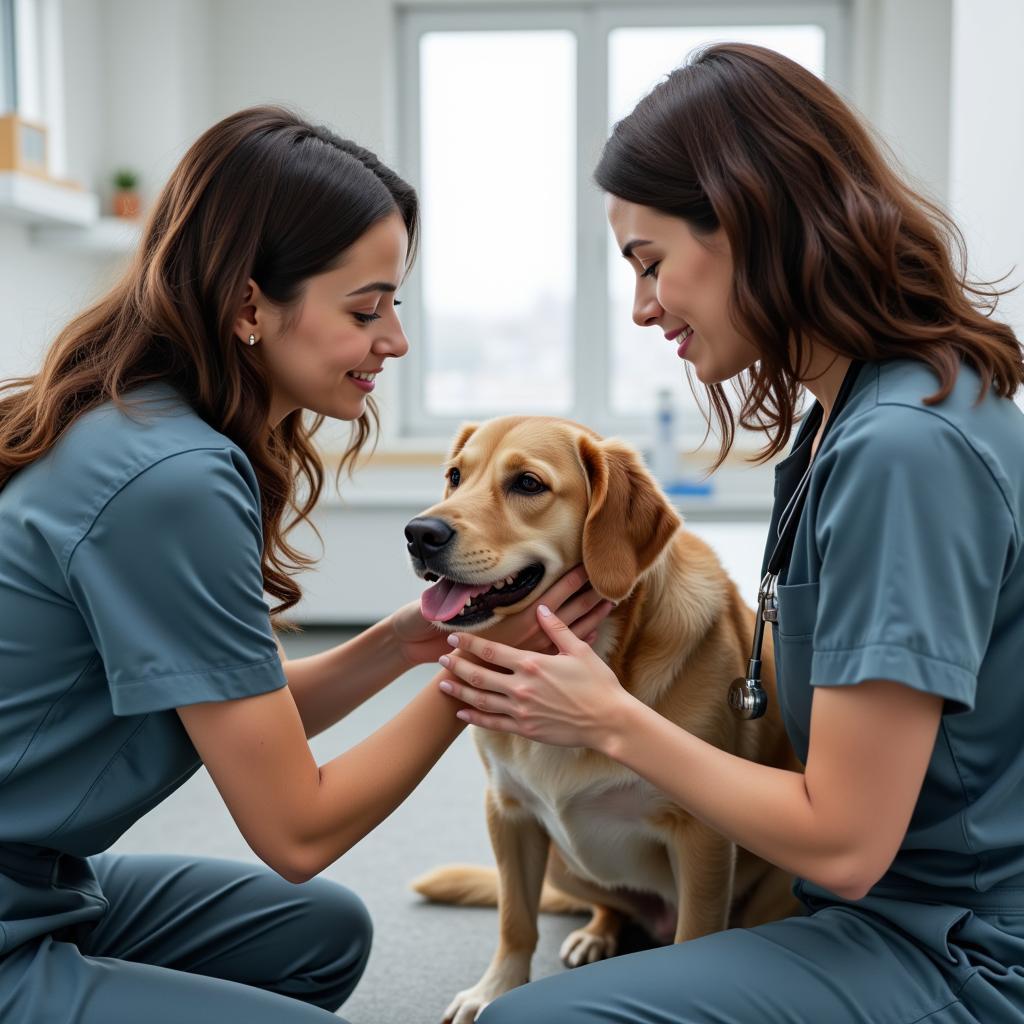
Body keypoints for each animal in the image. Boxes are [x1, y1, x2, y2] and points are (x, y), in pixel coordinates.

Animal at [403, 415, 802, 1024]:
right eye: (454, 476)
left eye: (527, 483)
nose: (419, 533)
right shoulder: (508, 811)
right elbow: (515, 921)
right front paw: (494, 989)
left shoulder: (703, 836)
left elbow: (696, 933)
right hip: (564, 860)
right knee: (602, 905)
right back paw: (597, 932)